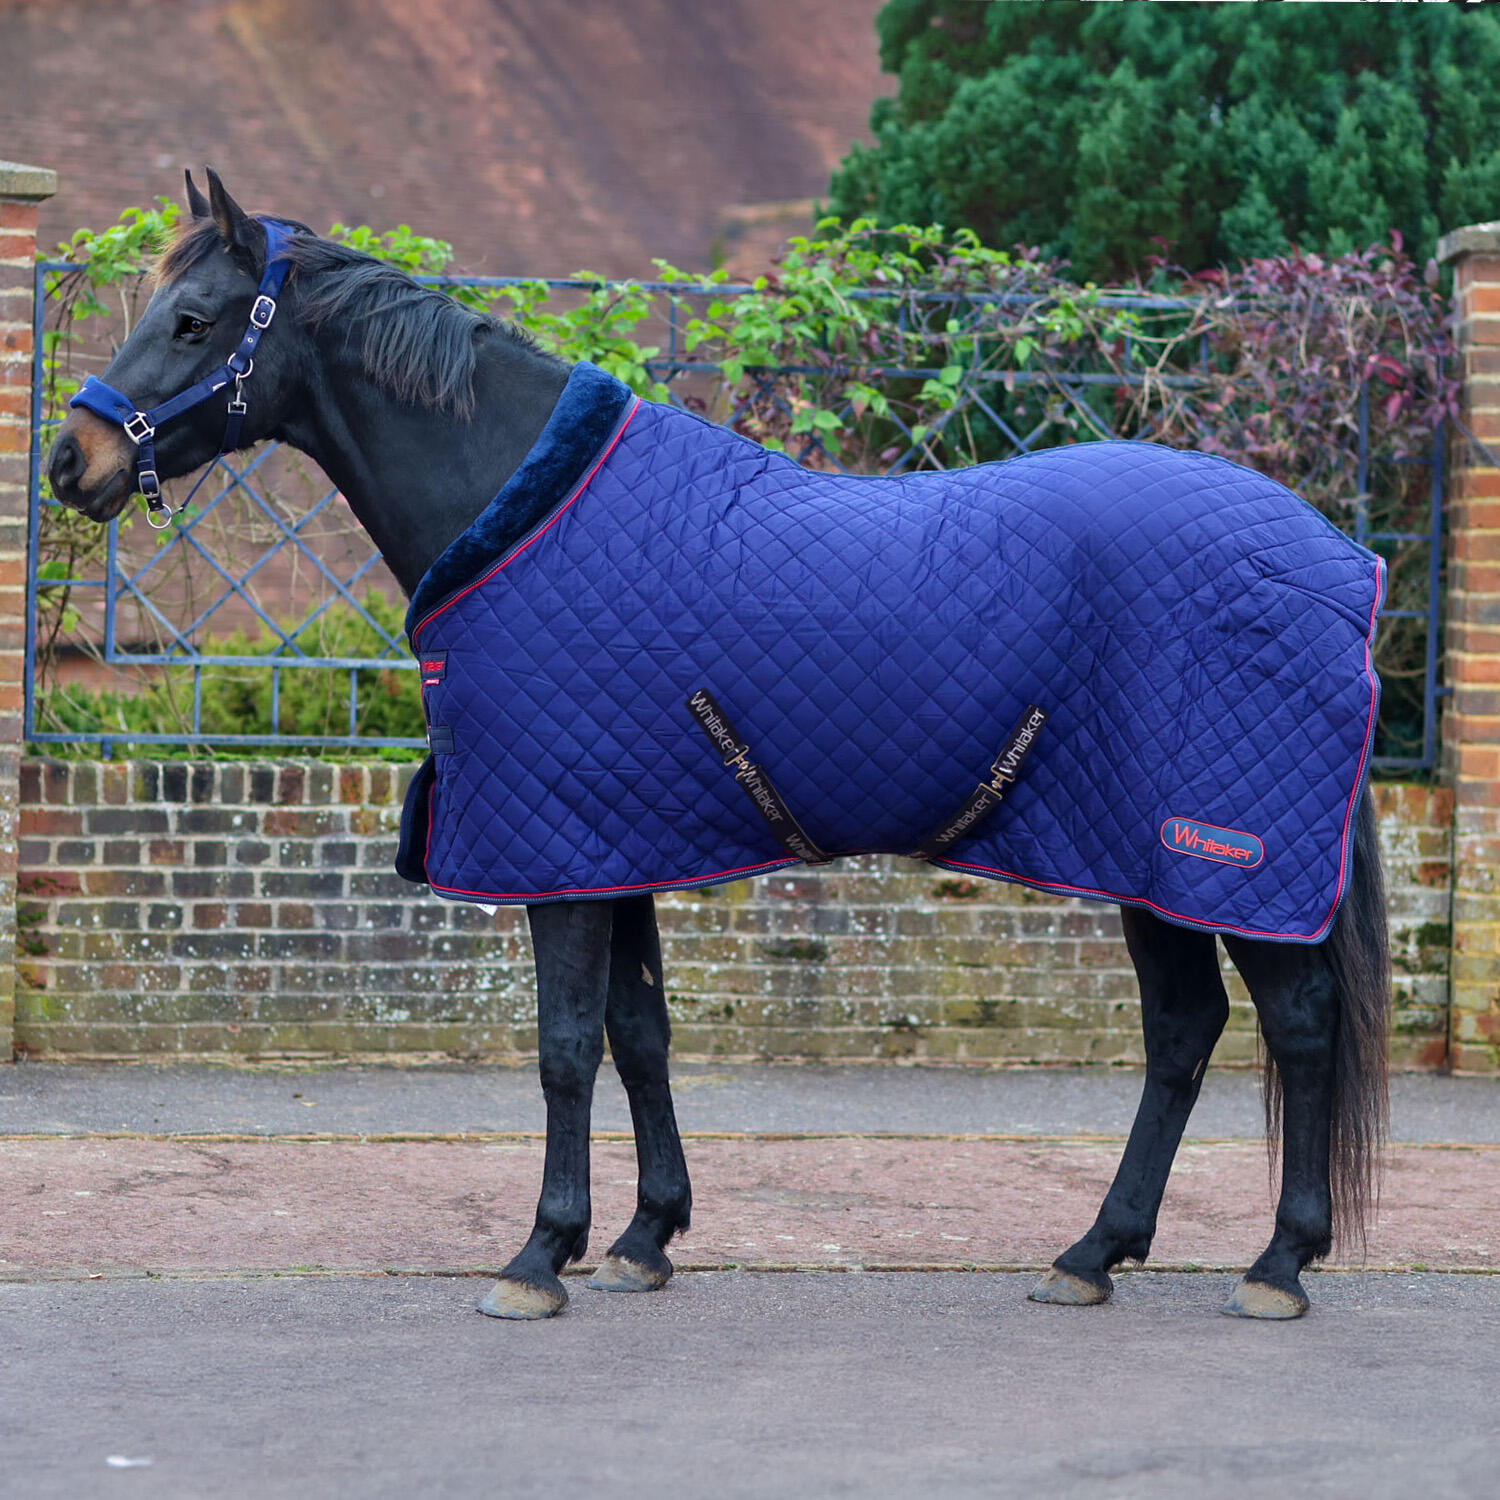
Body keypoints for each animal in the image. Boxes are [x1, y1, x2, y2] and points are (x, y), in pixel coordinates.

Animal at [46, 170, 1390, 1322]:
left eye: (193, 320)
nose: (74, 461)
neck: (525, 503)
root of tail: (1339, 563)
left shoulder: (561, 851)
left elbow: (565, 1050)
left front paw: (540, 1253)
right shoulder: (612, 844)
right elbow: (639, 1037)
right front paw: (645, 1238)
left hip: (1218, 850)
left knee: (1297, 1022)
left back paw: (1278, 1262)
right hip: (1140, 862)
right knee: (1184, 1034)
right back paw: (1094, 1252)